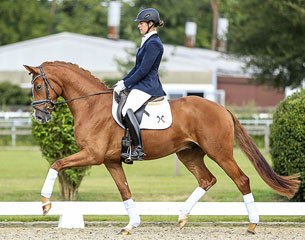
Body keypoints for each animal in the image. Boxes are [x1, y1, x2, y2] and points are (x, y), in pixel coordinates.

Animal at [24, 61, 300, 234]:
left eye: (38, 86)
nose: (40, 116)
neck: (92, 106)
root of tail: (222, 108)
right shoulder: (111, 161)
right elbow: (125, 190)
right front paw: (131, 225)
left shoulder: (92, 155)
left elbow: (56, 163)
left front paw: (45, 203)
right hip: (189, 154)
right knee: (207, 179)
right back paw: (182, 216)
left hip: (220, 152)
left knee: (241, 180)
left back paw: (252, 224)